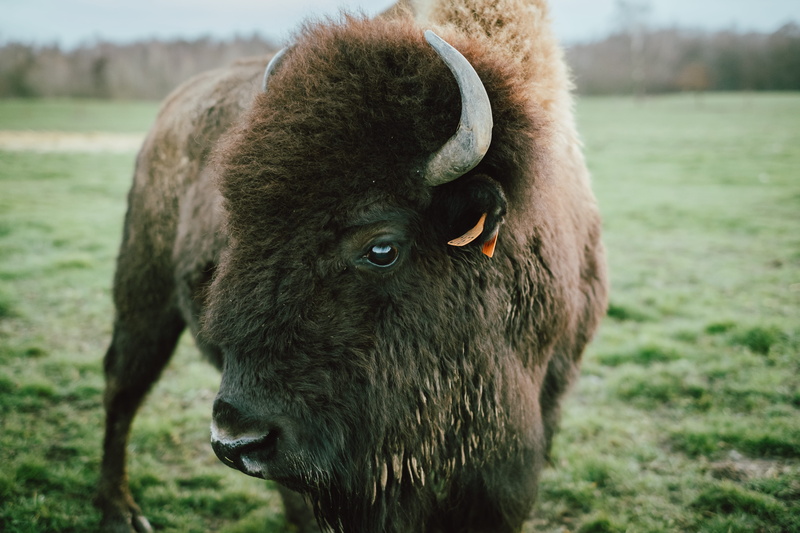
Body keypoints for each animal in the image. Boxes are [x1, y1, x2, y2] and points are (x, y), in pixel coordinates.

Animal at [95, 0, 608, 532]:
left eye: (381, 248)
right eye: (236, 222)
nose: (237, 440)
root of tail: (171, 109)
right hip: (144, 295)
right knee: (122, 386)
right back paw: (120, 510)